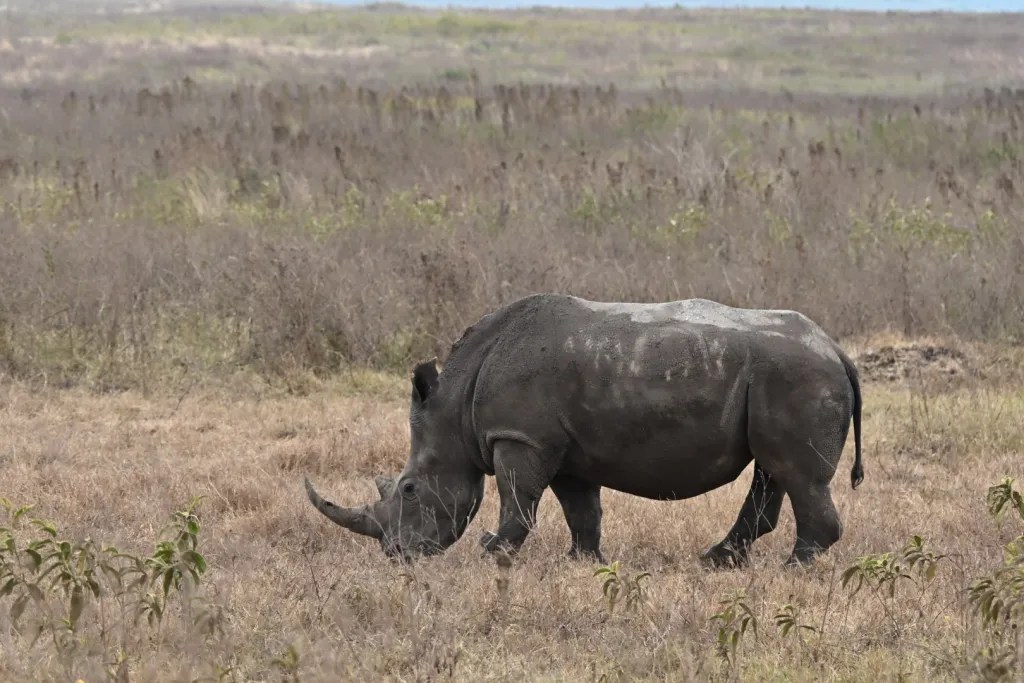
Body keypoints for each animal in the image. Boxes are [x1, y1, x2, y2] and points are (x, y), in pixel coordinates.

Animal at [304, 293, 864, 567]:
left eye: (409, 489)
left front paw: (493, 554)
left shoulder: (519, 438)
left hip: (796, 378)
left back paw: (793, 569)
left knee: (796, 474)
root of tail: (836, 350)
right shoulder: (564, 448)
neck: (454, 409)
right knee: (772, 470)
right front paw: (583, 561)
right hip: (778, 380)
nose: (396, 555)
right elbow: (581, 509)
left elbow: (517, 501)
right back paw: (717, 562)